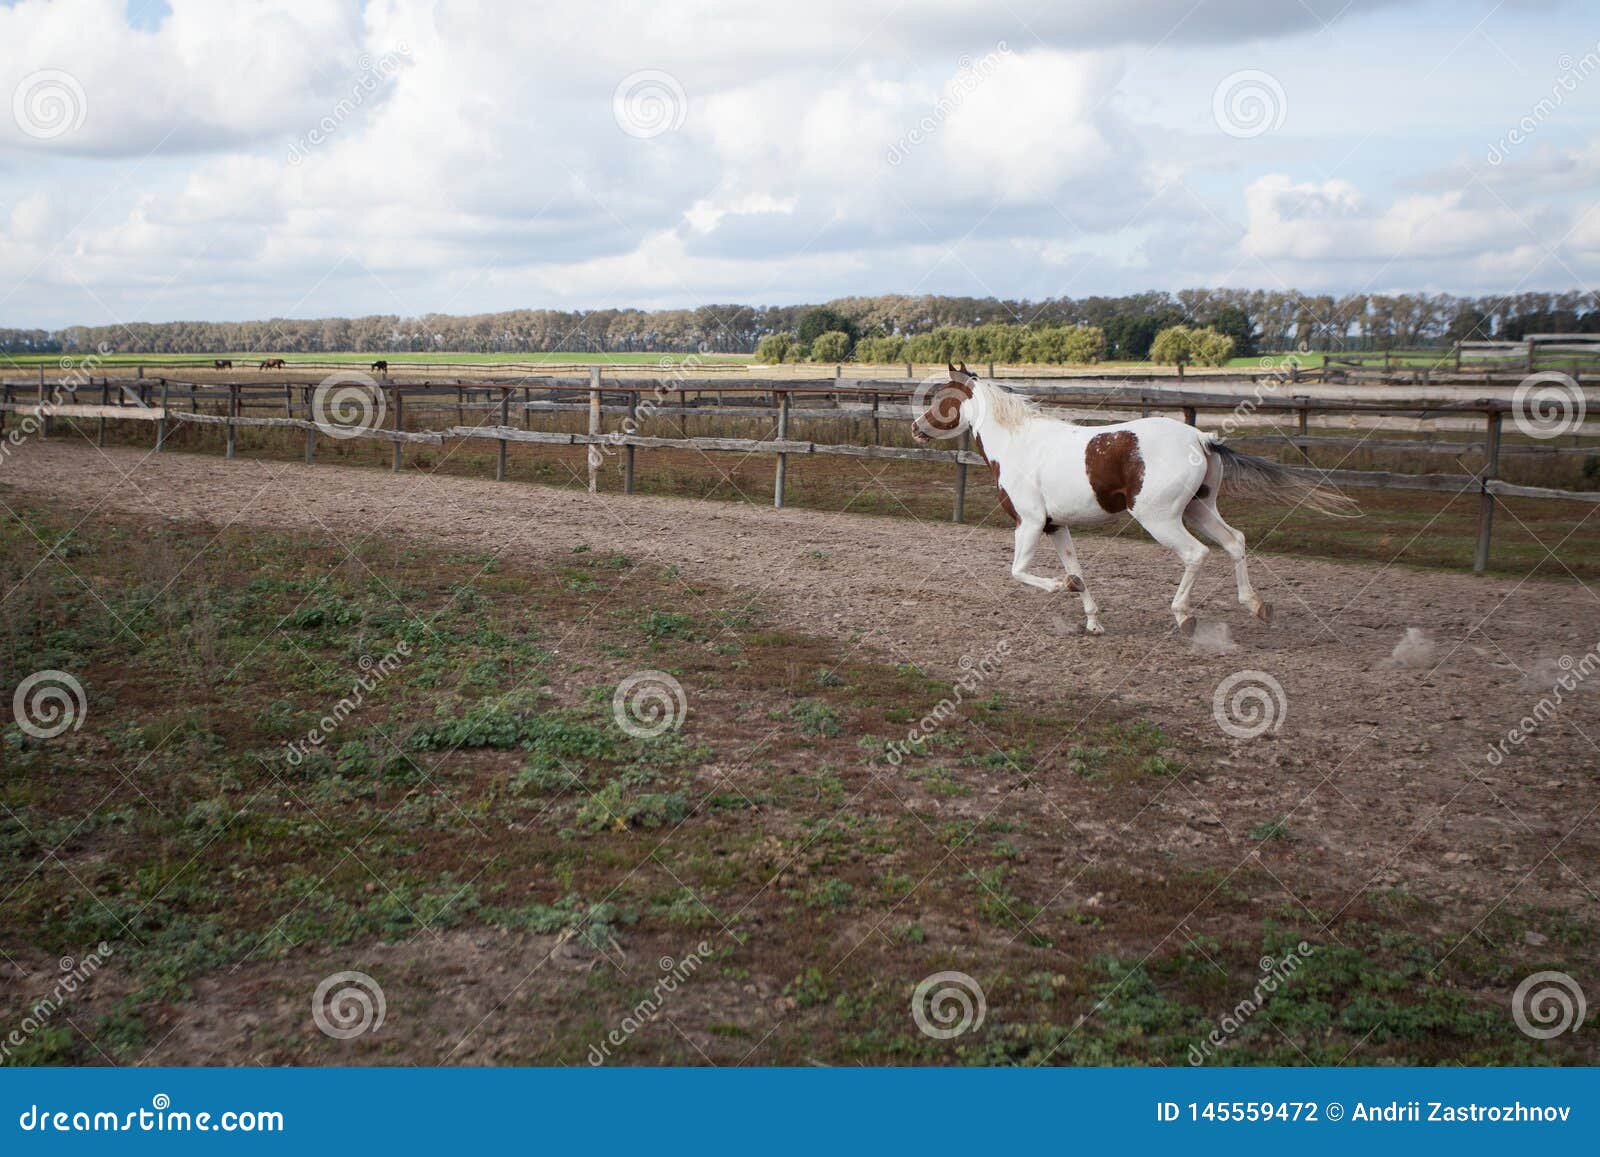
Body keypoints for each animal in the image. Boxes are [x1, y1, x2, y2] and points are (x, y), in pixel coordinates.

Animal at [912, 363, 1355, 635]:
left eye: (941, 396)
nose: (916, 428)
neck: (1019, 444)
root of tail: (1202, 438)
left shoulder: (1031, 523)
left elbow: (1019, 571)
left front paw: (1061, 587)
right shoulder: (1057, 526)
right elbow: (1078, 570)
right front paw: (1093, 622)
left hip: (1161, 519)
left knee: (1197, 554)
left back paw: (1184, 616)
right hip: (1199, 508)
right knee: (1235, 542)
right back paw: (1256, 606)